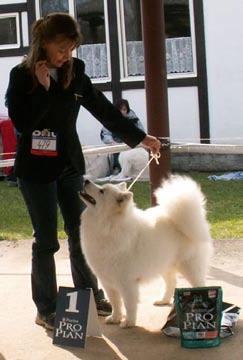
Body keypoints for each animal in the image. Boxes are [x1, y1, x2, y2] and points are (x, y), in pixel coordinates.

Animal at [79, 176, 213, 328]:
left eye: (102, 191)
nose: (86, 180)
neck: (108, 226)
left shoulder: (127, 282)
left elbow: (129, 304)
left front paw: (129, 322)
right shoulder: (107, 281)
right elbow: (115, 302)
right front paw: (115, 318)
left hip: (189, 267)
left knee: (200, 284)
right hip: (164, 264)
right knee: (171, 282)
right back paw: (163, 300)